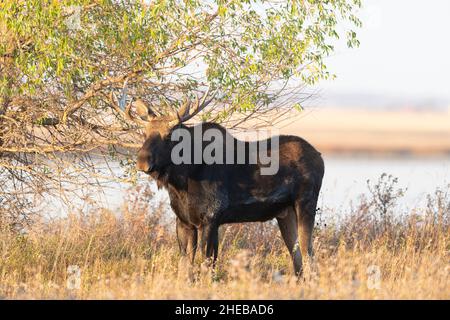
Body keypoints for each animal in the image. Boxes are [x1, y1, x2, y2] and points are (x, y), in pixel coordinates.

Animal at [112, 89, 324, 276]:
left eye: (169, 135)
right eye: (144, 133)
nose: (142, 161)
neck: (181, 182)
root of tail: (320, 157)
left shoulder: (210, 218)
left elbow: (206, 265)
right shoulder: (184, 221)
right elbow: (185, 267)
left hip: (305, 204)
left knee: (309, 254)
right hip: (284, 212)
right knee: (297, 258)